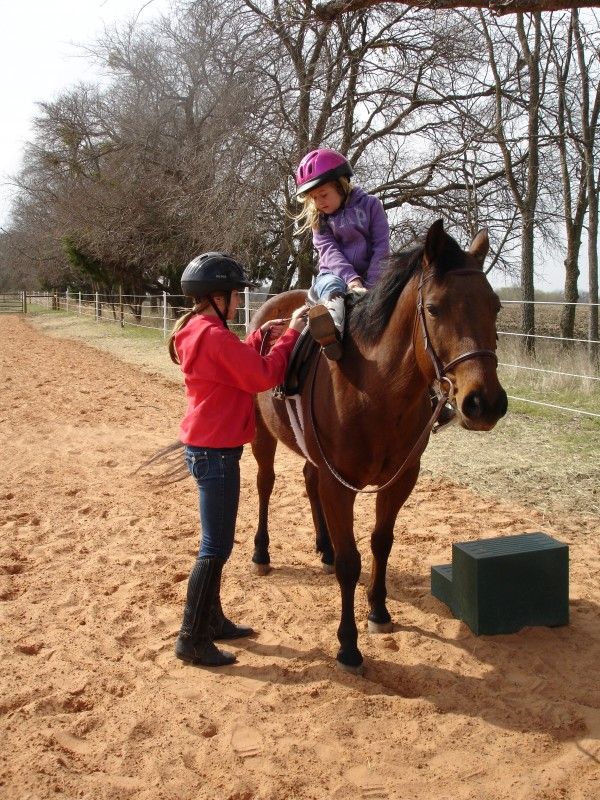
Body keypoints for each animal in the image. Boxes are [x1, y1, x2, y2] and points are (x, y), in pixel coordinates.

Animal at [249, 219, 508, 674]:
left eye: (494, 306)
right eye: (435, 308)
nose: (485, 402)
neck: (374, 388)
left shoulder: (400, 479)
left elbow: (380, 542)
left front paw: (379, 611)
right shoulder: (341, 486)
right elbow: (351, 563)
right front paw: (348, 646)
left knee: (308, 480)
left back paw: (323, 547)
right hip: (265, 437)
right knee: (266, 483)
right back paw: (262, 553)